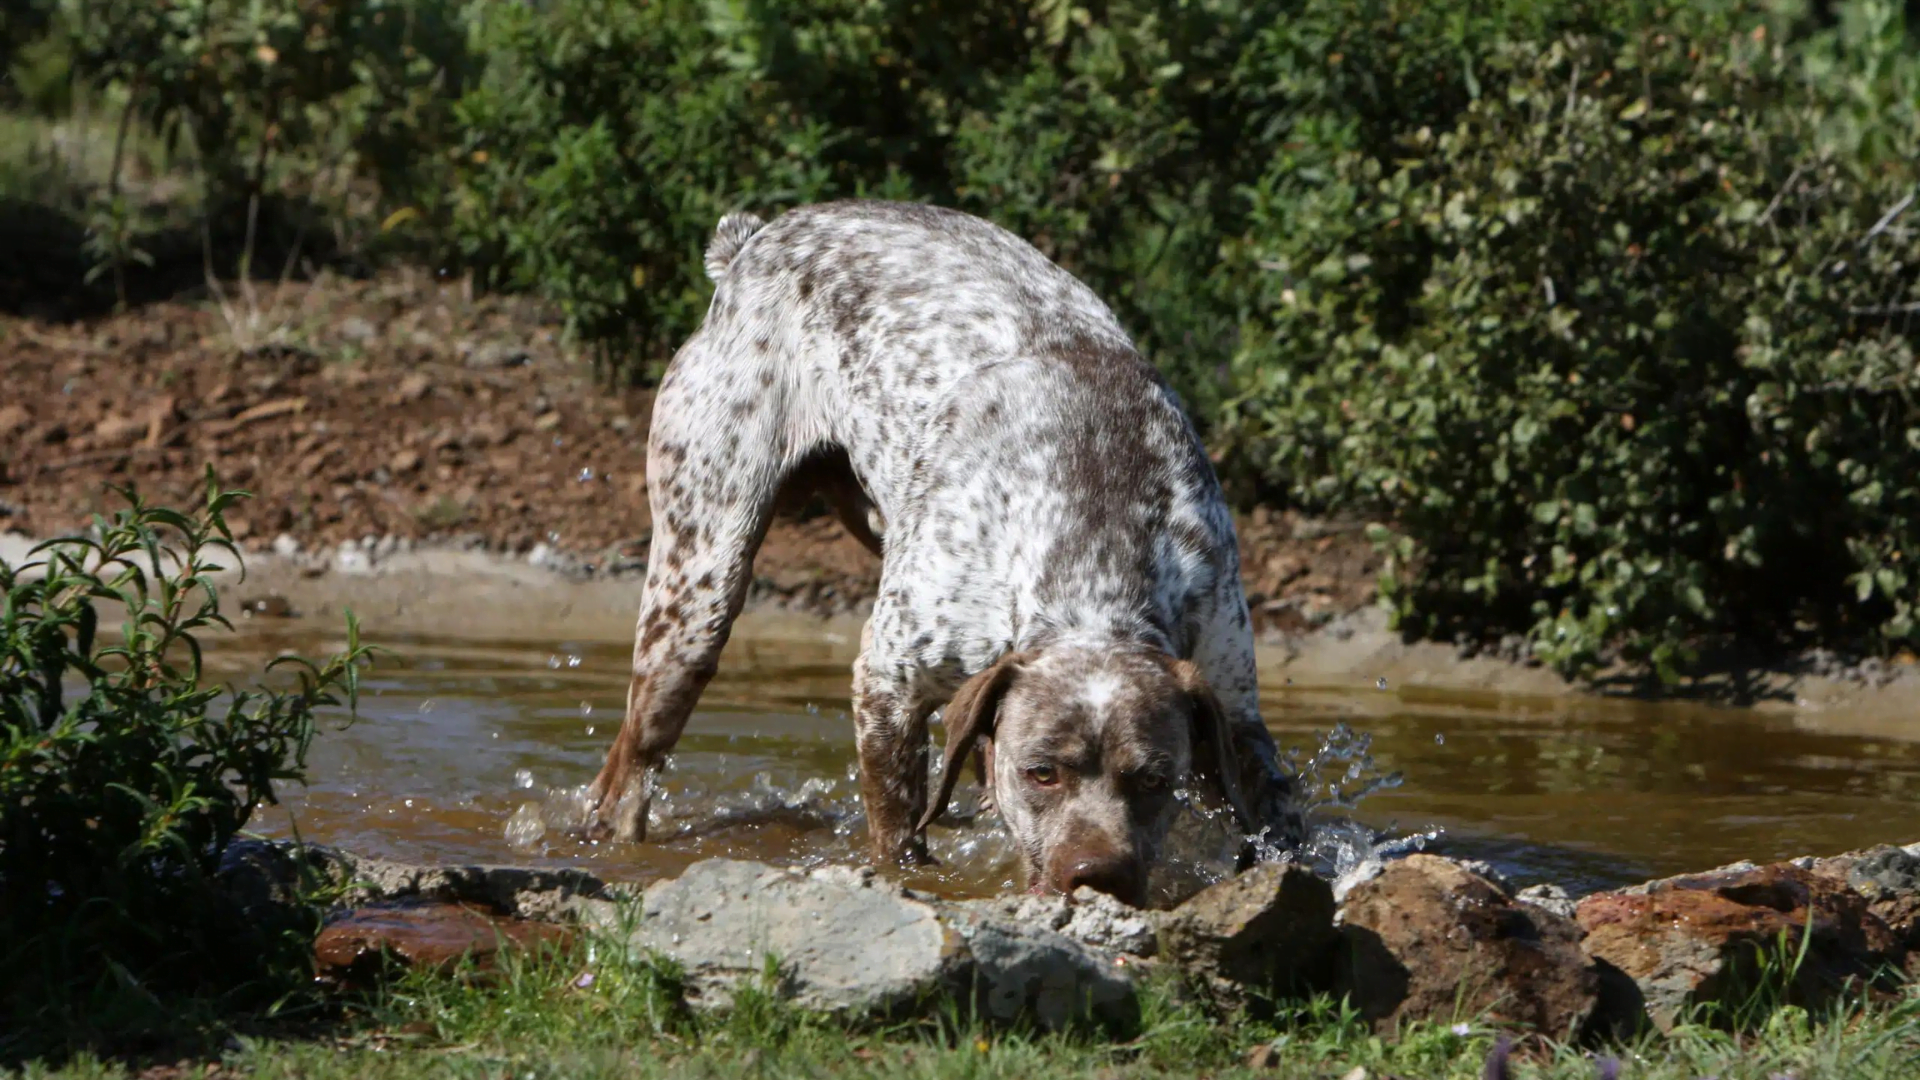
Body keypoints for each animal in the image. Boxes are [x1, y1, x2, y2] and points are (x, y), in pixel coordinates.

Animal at [587, 199, 1305, 899]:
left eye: (1155, 780)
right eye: (1041, 772)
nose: (1098, 878)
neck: (1096, 546)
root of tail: (753, 242)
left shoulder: (1234, 706)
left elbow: (1279, 818)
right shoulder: (886, 683)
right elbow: (900, 830)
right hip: (695, 596)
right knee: (625, 777)